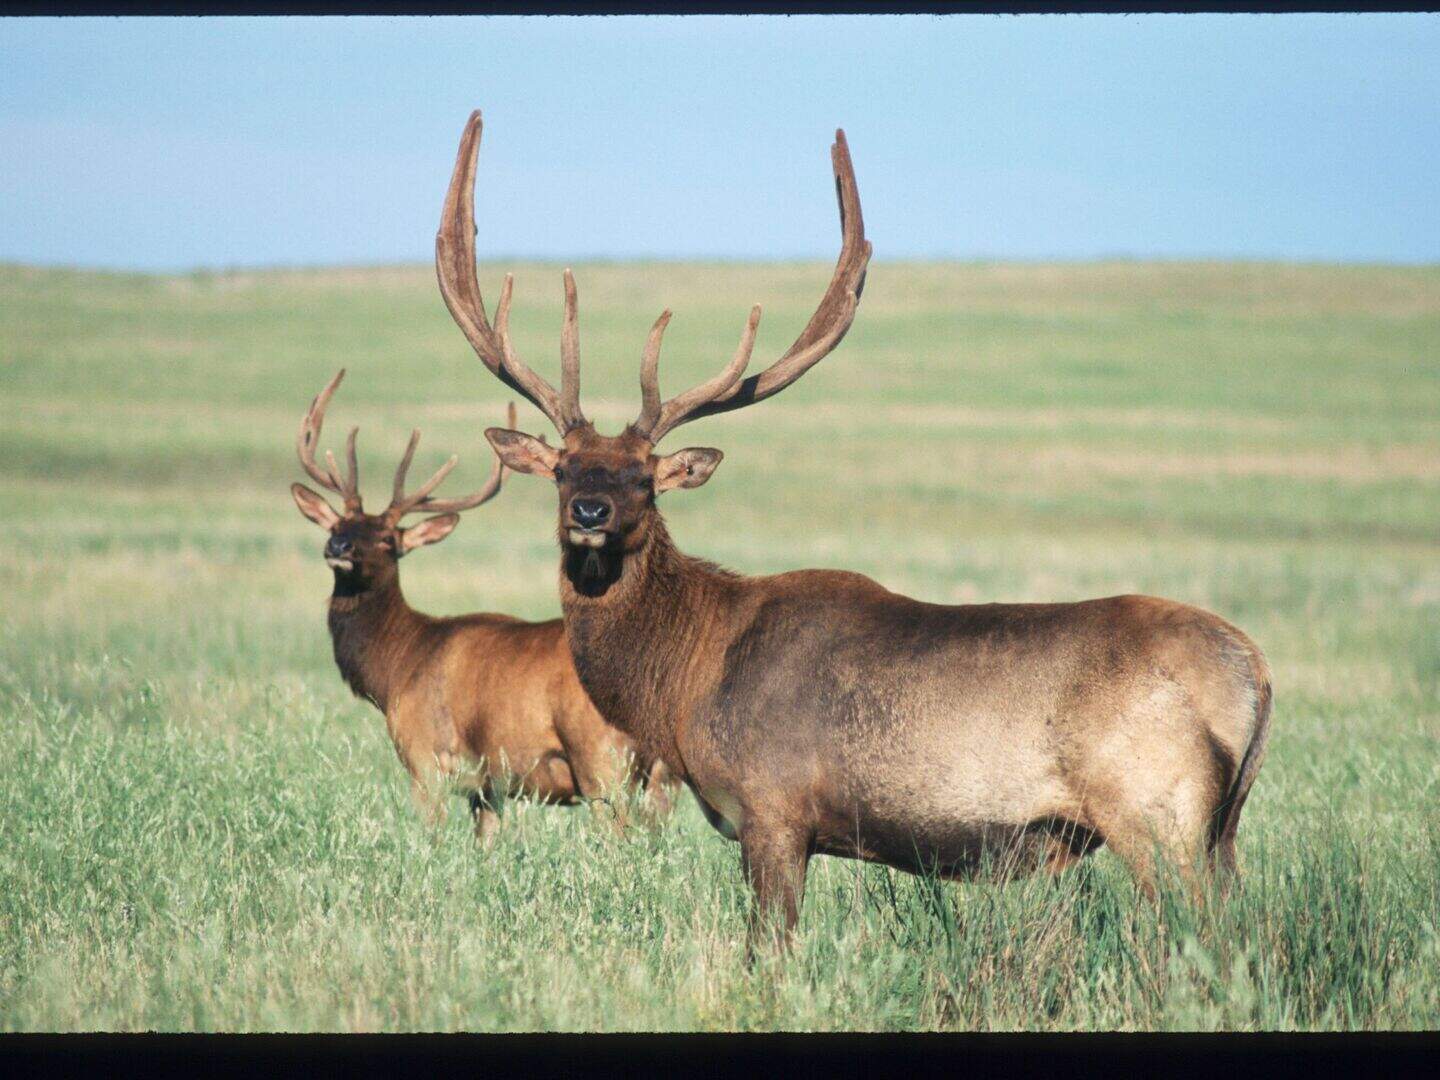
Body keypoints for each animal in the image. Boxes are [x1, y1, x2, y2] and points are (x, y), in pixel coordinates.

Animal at [289, 368, 676, 845]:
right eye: (336, 526)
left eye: (387, 540)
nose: (338, 547)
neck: (395, 666)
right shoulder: (489, 785)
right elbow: (485, 840)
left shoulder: (424, 755)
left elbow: (431, 834)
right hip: (660, 775)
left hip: (603, 760)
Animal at [436, 110, 1273, 952]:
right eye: (563, 469)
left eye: (644, 477)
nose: (590, 514)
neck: (683, 679)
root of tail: (1255, 673)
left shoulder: (773, 806)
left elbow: (768, 948)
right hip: (1220, 833)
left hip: (1156, 814)